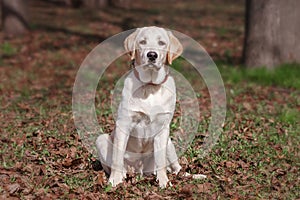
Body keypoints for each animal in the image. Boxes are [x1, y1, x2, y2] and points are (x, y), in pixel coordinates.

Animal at [96, 26, 184, 188]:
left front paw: (163, 182)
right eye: (142, 42)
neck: (150, 86)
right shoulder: (124, 124)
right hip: (102, 139)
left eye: (162, 43)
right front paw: (114, 180)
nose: (152, 55)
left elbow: (161, 161)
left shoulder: (163, 129)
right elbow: (117, 158)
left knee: (176, 167)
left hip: (169, 142)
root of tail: (140, 171)